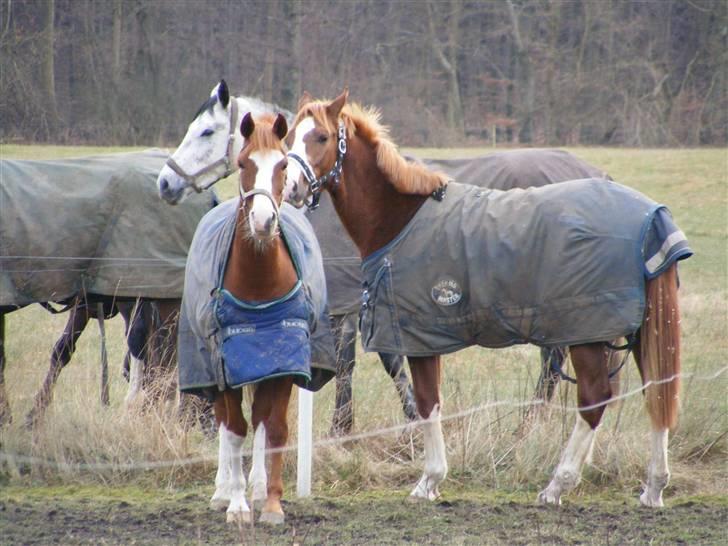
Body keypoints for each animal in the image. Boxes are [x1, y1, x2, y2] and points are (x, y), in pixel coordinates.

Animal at [282, 92, 688, 506]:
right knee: (657, 389)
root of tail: (650, 216)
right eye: (289, 137)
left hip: (586, 332)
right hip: (635, 329)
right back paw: (653, 487)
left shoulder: (417, 336)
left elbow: (426, 402)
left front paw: (429, 479)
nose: (291, 187)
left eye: (322, 137)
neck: (402, 219)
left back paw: (557, 484)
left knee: (595, 398)